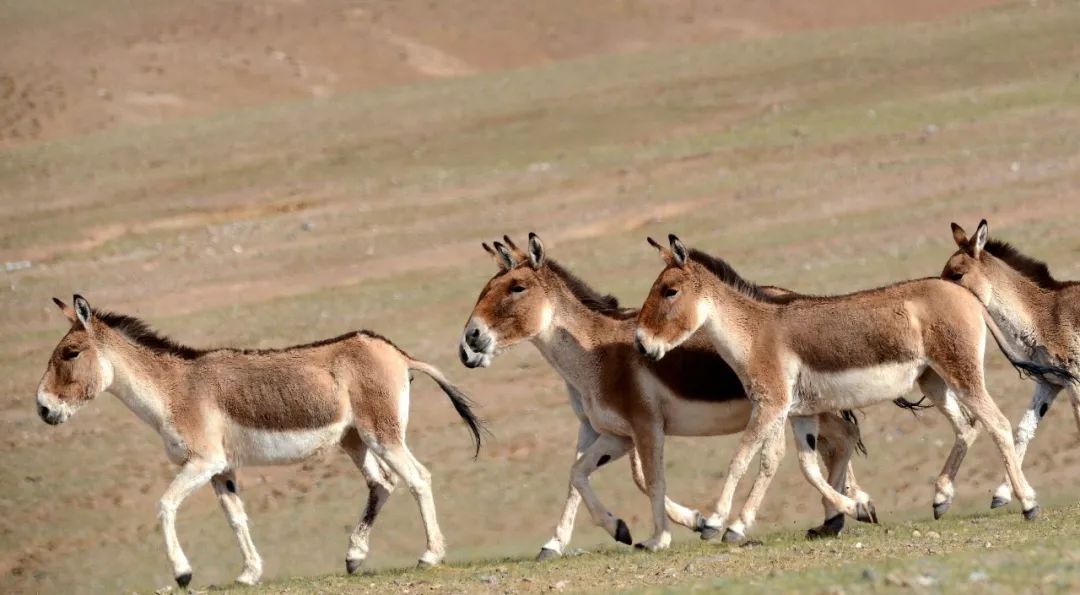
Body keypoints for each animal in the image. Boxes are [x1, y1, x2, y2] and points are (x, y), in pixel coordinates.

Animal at [35, 296, 484, 588]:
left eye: (70, 352)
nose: (42, 408)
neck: (174, 389)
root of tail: (397, 353)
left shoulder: (201, 462)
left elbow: (165, 505)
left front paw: (182, 573)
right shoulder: (221, 468)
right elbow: (236, 517)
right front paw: (249, 573)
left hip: (383, 434)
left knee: (418, 477)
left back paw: (430, 555)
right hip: (355, 440)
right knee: (383, 484)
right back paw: (355, 556)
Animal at [459, 234, 875, 556]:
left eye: (517, 287)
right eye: (484, 289)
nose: (469, 342)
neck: (593, 352)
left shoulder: (643, 427)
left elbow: (650, 479)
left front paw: (665, 534)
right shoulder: (606, 431)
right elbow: (578, 475)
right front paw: (567, 540)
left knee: (838, 438)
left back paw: (843, 511)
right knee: (839, 439)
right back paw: (840, 514)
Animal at [635, 235, 1072, 535]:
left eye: (669, 291)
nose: (640, 343)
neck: (755, 332)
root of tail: (967, 296)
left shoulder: (771, 406)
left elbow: (741, 459)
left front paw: (714, 522)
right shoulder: (795, 411)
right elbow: (802, 465)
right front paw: (848, 509)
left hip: (961, 375)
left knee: (997, 424)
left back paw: (1026, 502)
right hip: (933, 380)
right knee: (968, 426)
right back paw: (942, 497)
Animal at [943, 220, 1079, 509]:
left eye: (957, 274)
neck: (1043, 316)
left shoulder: (1074, 381)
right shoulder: (1050, 384)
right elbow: (1024, 430)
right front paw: (1003, 494)